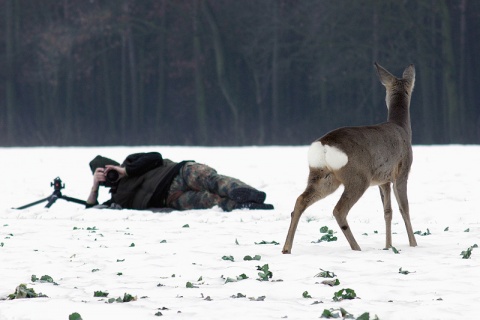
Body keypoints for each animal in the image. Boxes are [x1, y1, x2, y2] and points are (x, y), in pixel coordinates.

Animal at [284, 62, 418, 252]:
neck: (402, 128)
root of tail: (324, 144)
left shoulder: (383, 180)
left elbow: (387, 211)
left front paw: (388, 246)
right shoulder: (402, 171)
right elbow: (404, 208)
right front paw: (413, 244)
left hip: (323, 176)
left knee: (300, 200)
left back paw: (286, 248)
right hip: (358, 177)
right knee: (339, 210)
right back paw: (357, 247)